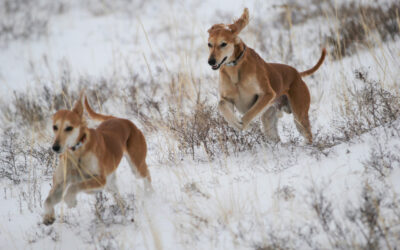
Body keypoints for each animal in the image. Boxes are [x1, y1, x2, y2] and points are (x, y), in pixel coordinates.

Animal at [42, 93, 152, 226]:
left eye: (69, 128)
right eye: (55, 127)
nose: (55, 147)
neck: (78, 152)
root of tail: (122, 120)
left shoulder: (99, 180)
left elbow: (74, 186)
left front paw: (70, 200)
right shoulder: (60, 183)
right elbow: (48, 200)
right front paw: (48, 216)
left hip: (136, 167)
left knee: (147, 176)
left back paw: (150, 195)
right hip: (111, 183)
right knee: (118, 196)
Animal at [206, 8, 324, 145]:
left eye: (223, 44)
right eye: (209, 44)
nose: (211, 61)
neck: (235, 69)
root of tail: (297, 74)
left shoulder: (268, 94)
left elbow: (249, 114)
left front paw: (243, 124)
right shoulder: (227, 99)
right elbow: (221, 105)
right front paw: (236, 123)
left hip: (299, 115)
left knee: (307, 134)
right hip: (269, 119)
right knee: (275, 137)